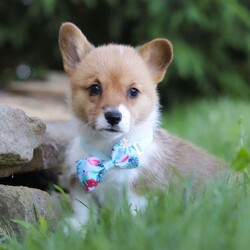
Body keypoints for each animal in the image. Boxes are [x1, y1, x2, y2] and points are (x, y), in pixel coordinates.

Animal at [59, 23, 223, 229]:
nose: (113, 117)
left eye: (133, 91)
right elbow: (84, 212)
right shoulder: (80, 186)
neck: (109, 153)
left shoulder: (139, 193)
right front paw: (76, 229)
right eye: (95, 88)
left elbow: (131, 216)